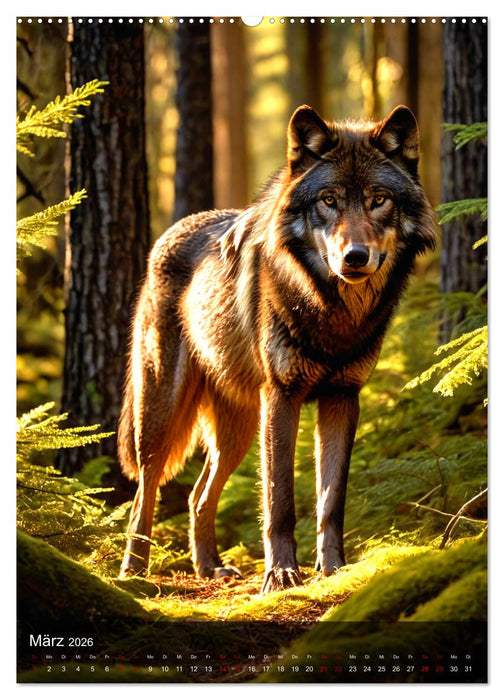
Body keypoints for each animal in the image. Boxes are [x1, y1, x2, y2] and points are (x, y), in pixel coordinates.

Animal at [117, 104, 435, 592]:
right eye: (329, 200)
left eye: (379, 199)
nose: (355, 257)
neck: (332, 313)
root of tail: (171, 231)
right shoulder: (282, 397)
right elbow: (280, 500)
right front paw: (282, 574)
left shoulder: (343, 398)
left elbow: (331, 501)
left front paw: (334, 569)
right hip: (163, 412)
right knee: (145, 492)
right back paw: (133, 573)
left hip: (240, 427)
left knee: (197, 495)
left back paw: (209, 567)